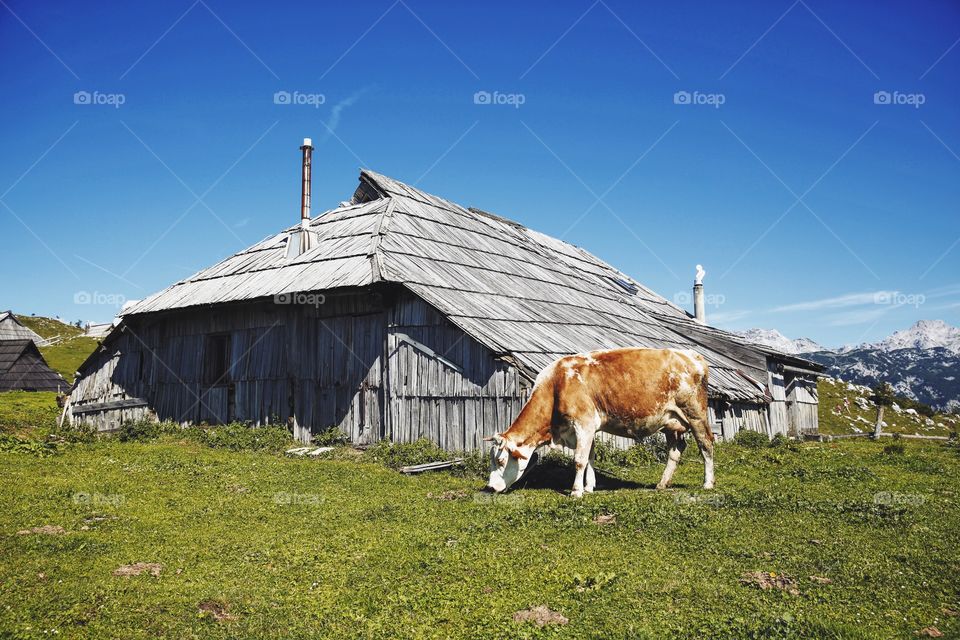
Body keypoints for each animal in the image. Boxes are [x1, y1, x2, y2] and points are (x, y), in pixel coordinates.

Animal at [485, 348, 714, 497]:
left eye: (501, 461)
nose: (490, 487)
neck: (558, 383)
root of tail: (692, 355)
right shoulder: (588, 428)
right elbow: (590, 457)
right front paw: (589, 487)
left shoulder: (583, 423)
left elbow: (579, 459)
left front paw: (576, 491)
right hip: (671, 421)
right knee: (676, 449)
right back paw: (662, 483)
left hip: (695, 413)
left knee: (706, 444)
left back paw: (708, 483)